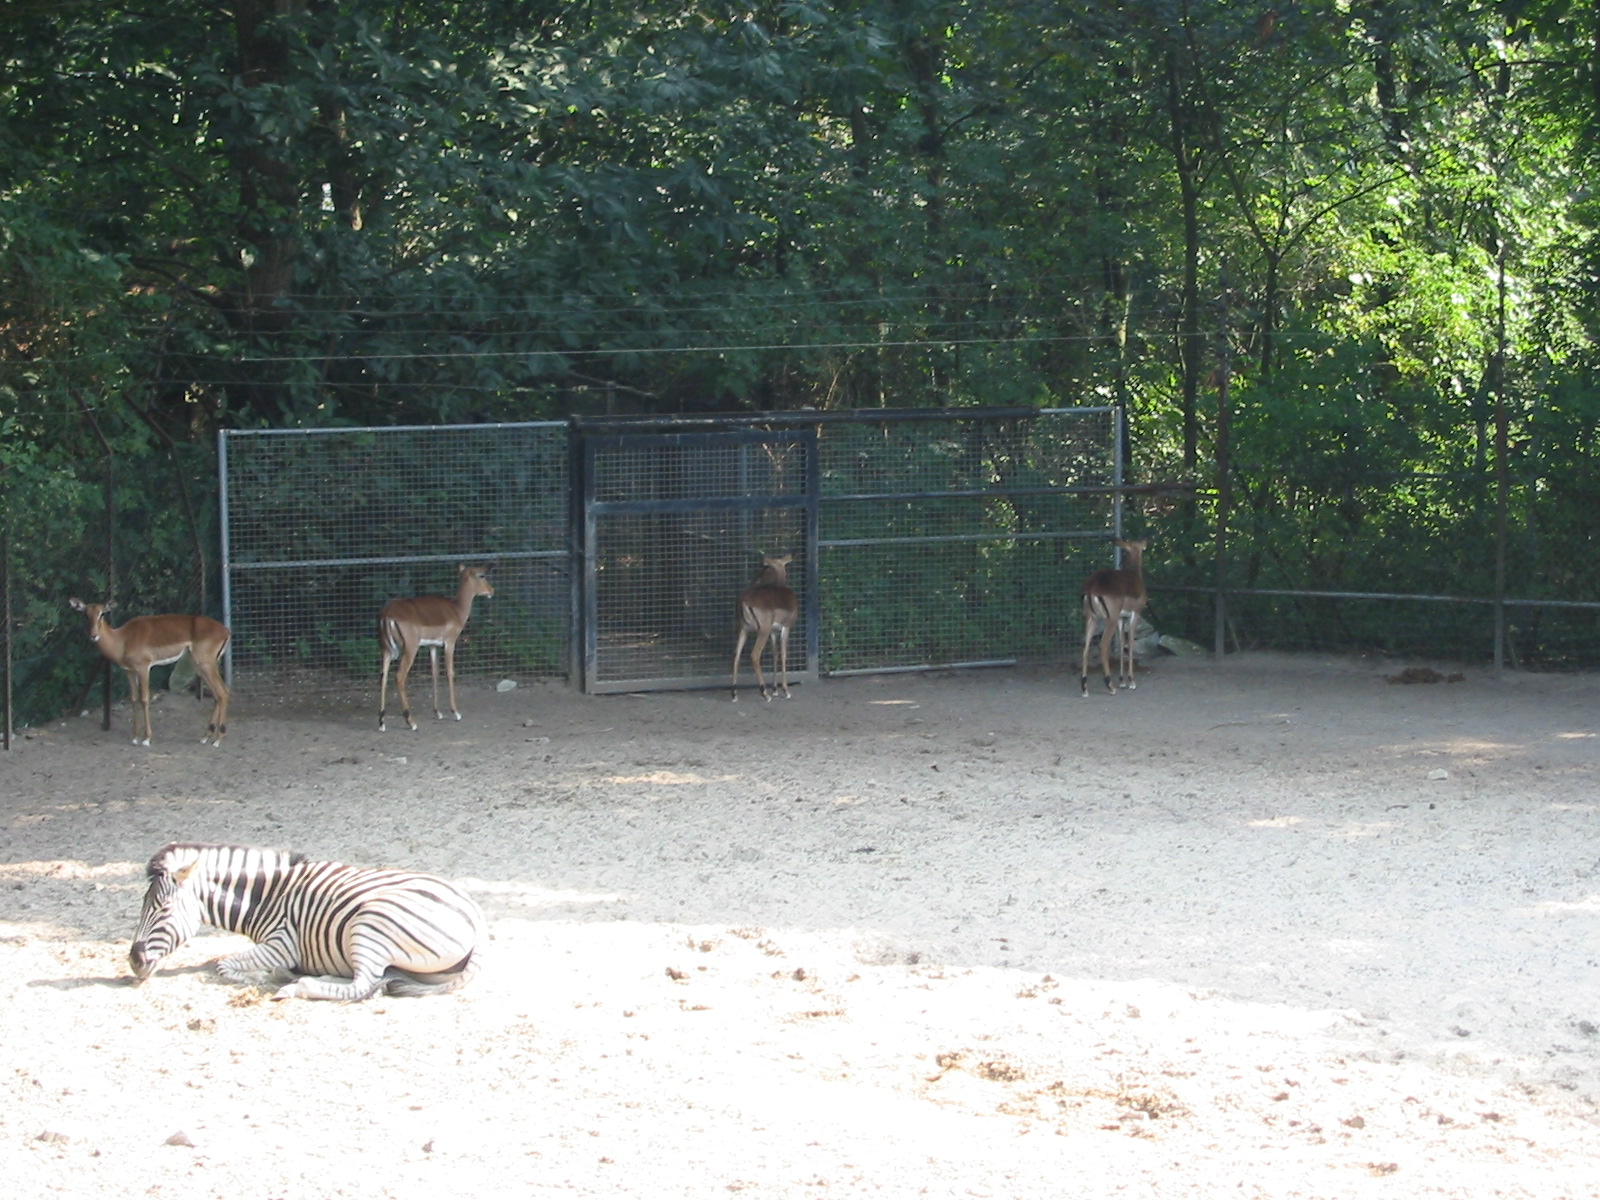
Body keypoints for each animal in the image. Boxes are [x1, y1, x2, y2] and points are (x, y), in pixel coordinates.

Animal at [129, 843, 486, 1001]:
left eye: (164, 908)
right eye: (143, 905)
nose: (134, 961)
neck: (266, 897)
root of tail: (475, 916)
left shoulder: (281, 945)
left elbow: (223, 965)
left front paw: (258, 978)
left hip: (369, 924)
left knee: (363, 985)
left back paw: (299, 986)